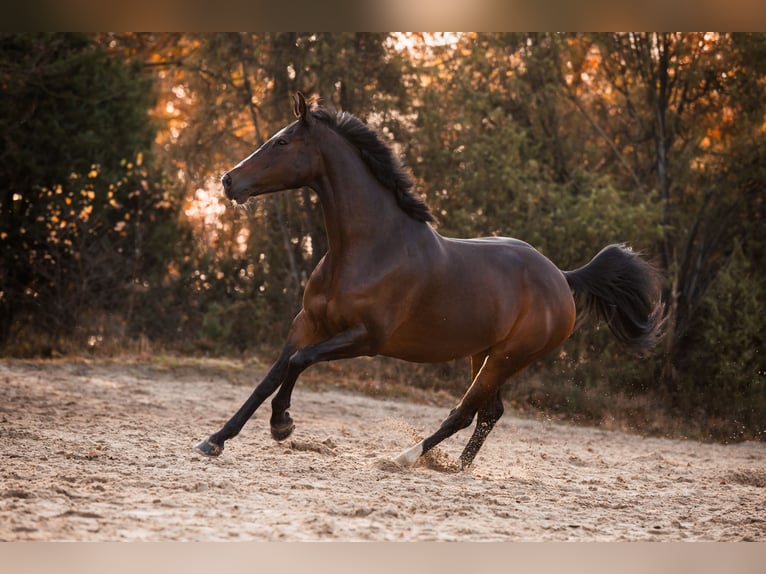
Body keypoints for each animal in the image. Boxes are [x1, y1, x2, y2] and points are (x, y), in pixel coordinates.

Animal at [196, 92, 664, 470]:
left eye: (282, 142)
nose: (229, 180)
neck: (368, 248)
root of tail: (562, 278)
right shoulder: (308, 322)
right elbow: (271, 375)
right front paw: (215, 441)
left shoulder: (365, 338)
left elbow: (297, 363)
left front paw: (283, 424)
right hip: (484, 354)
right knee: (489, 412)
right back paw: (457, 468)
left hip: (509, 357)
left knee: (466, 411)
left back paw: (404, 458)